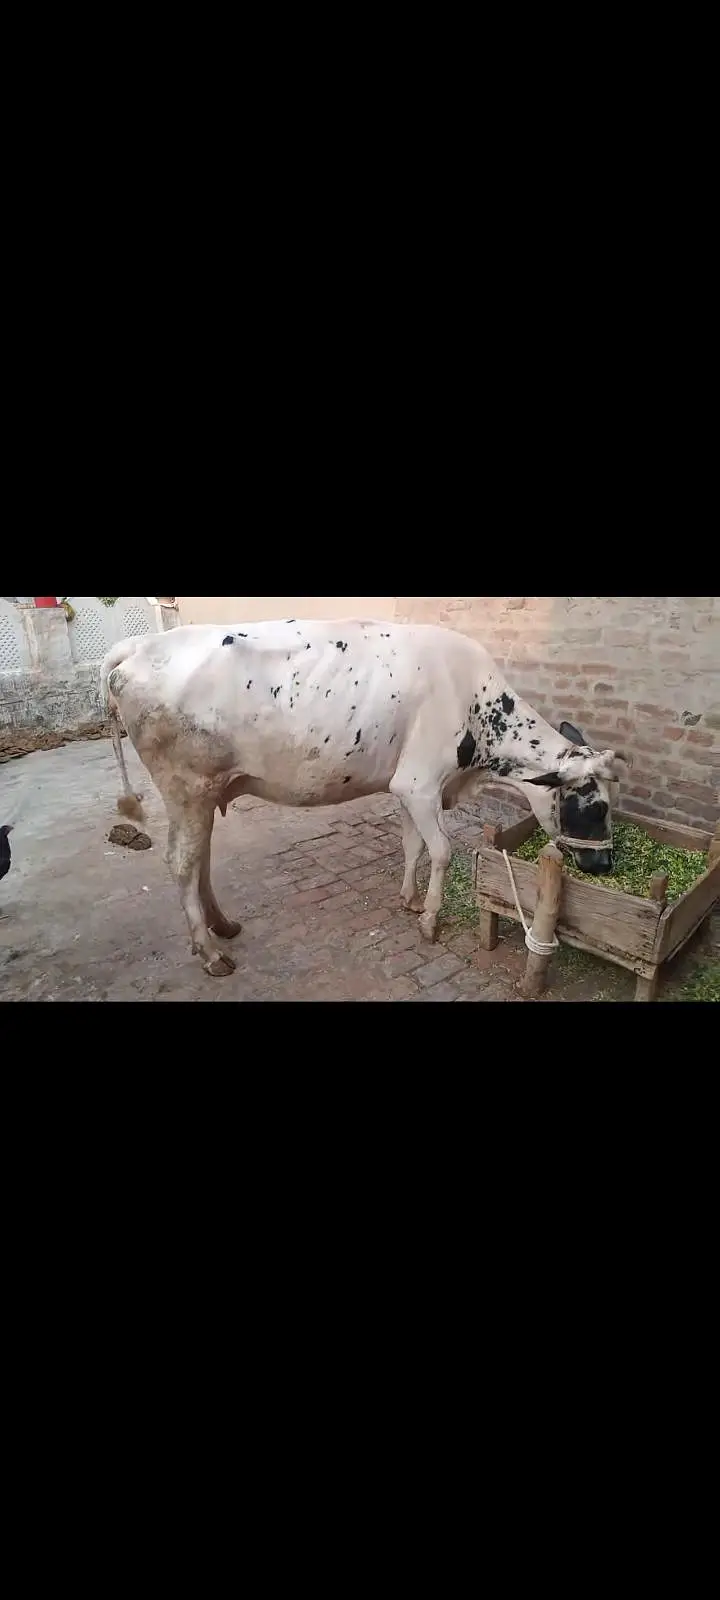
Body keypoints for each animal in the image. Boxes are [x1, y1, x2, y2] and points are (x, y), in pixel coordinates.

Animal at [101, 620, 630, 976]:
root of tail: (136, 645)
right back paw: (210, 952)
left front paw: (410, 900)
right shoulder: (420, 783)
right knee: (182, 862)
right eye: (596, 805)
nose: (605, 865)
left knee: (201, 858)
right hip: (186, 787)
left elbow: (414, 846)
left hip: (202, 794)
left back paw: (222, 926)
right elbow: (442, 851)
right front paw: (431, 920)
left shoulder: (408, 787)